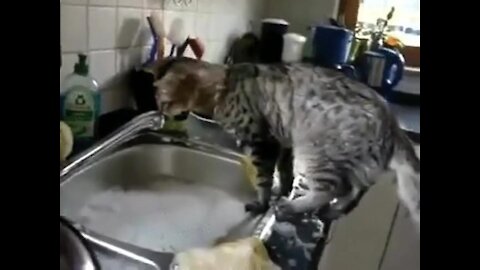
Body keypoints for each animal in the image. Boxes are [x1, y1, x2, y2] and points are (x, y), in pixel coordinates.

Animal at [152, 57, 418, 230]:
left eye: (163, 102)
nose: (160, 113)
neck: (223, 87)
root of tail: (392, 123)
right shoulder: (282, 143)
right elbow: (285, 172)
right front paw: (284, 188)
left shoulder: (261, 142)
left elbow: (263, 179)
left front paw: (263, 202)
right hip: (351, 163)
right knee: (353, 193)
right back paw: (331, 210)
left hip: (316, 152)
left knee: (333, 189)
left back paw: (294, 207)